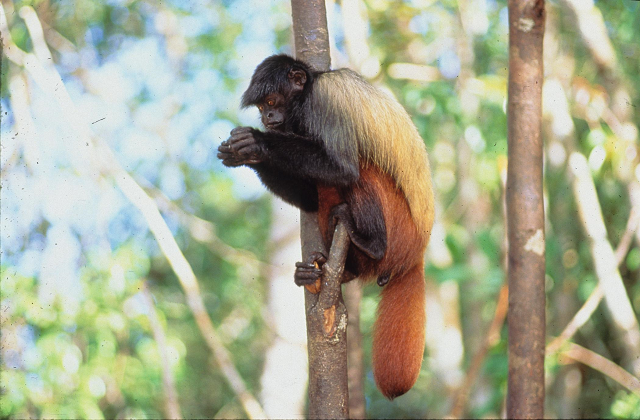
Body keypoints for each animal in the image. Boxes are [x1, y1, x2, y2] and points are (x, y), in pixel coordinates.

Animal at [216, 55, 436, 400]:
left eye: (270, 102)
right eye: (262, 107)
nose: (267, 117)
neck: (306, 96)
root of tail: (417, 254)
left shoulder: (325, 99)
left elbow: (342, 168)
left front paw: (257, 143)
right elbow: (309, 197)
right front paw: (245, 154)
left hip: (402, 229)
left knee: (359, 170)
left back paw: (371, 244)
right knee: (325, 191)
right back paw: (335, 271)